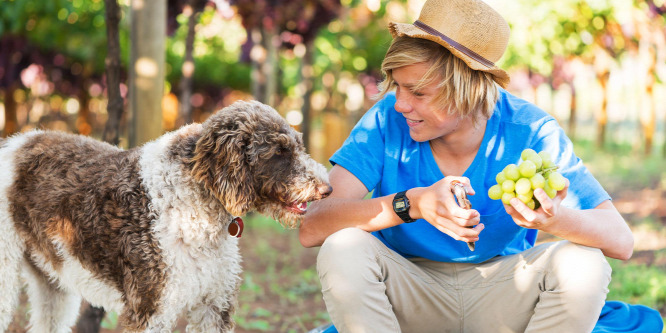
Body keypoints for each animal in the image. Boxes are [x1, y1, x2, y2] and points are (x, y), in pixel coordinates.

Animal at [0, 100, 330, 330]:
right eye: (279, 152)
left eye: (298, 146)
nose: (327, 189)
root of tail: (14, 143)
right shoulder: (149, 312)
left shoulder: (214, 306)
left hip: (52, 282)